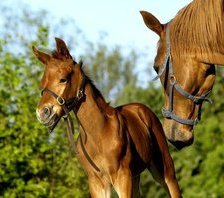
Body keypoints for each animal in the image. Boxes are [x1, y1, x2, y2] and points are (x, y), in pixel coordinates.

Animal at [32, 38, 181, 197]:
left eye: (63, 79)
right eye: (42, 84)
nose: (43, 112)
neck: (98, 134)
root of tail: (142, 109)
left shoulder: (122, 176)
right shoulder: (96, 182)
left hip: (165, 170)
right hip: (135, 176)